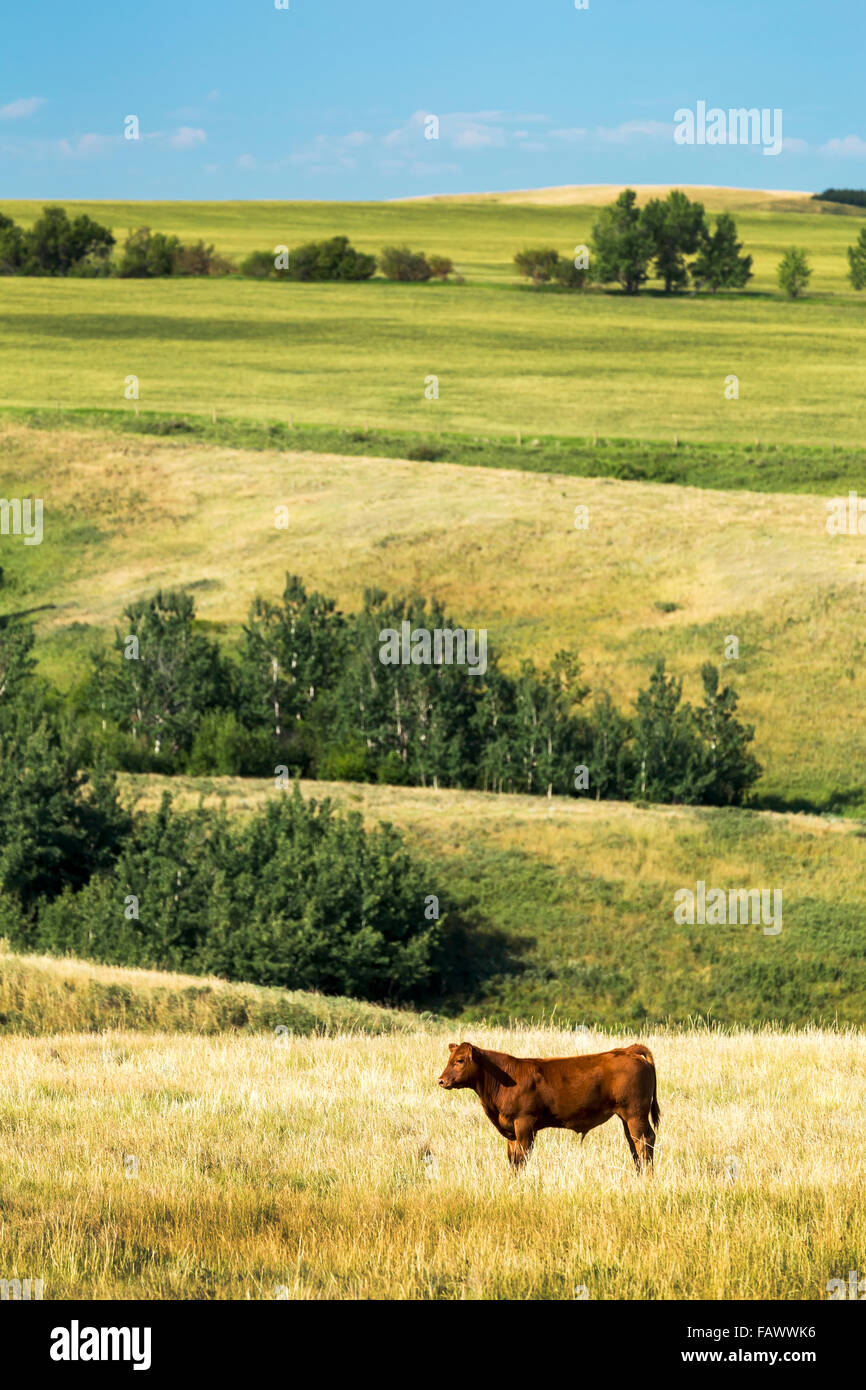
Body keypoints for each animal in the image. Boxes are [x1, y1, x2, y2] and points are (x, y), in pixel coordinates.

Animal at [438, 1040, 660, 1173]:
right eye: (449, 1059)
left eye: (459, 1060)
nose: (441, 1080)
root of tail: (626, 1051)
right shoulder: (511, 1130)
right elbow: (512, 1158)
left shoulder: (524, 1123)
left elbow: (522, 1157)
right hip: (627, 1116)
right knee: (634, 1143)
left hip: (635, 1113)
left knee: (645, 1141)